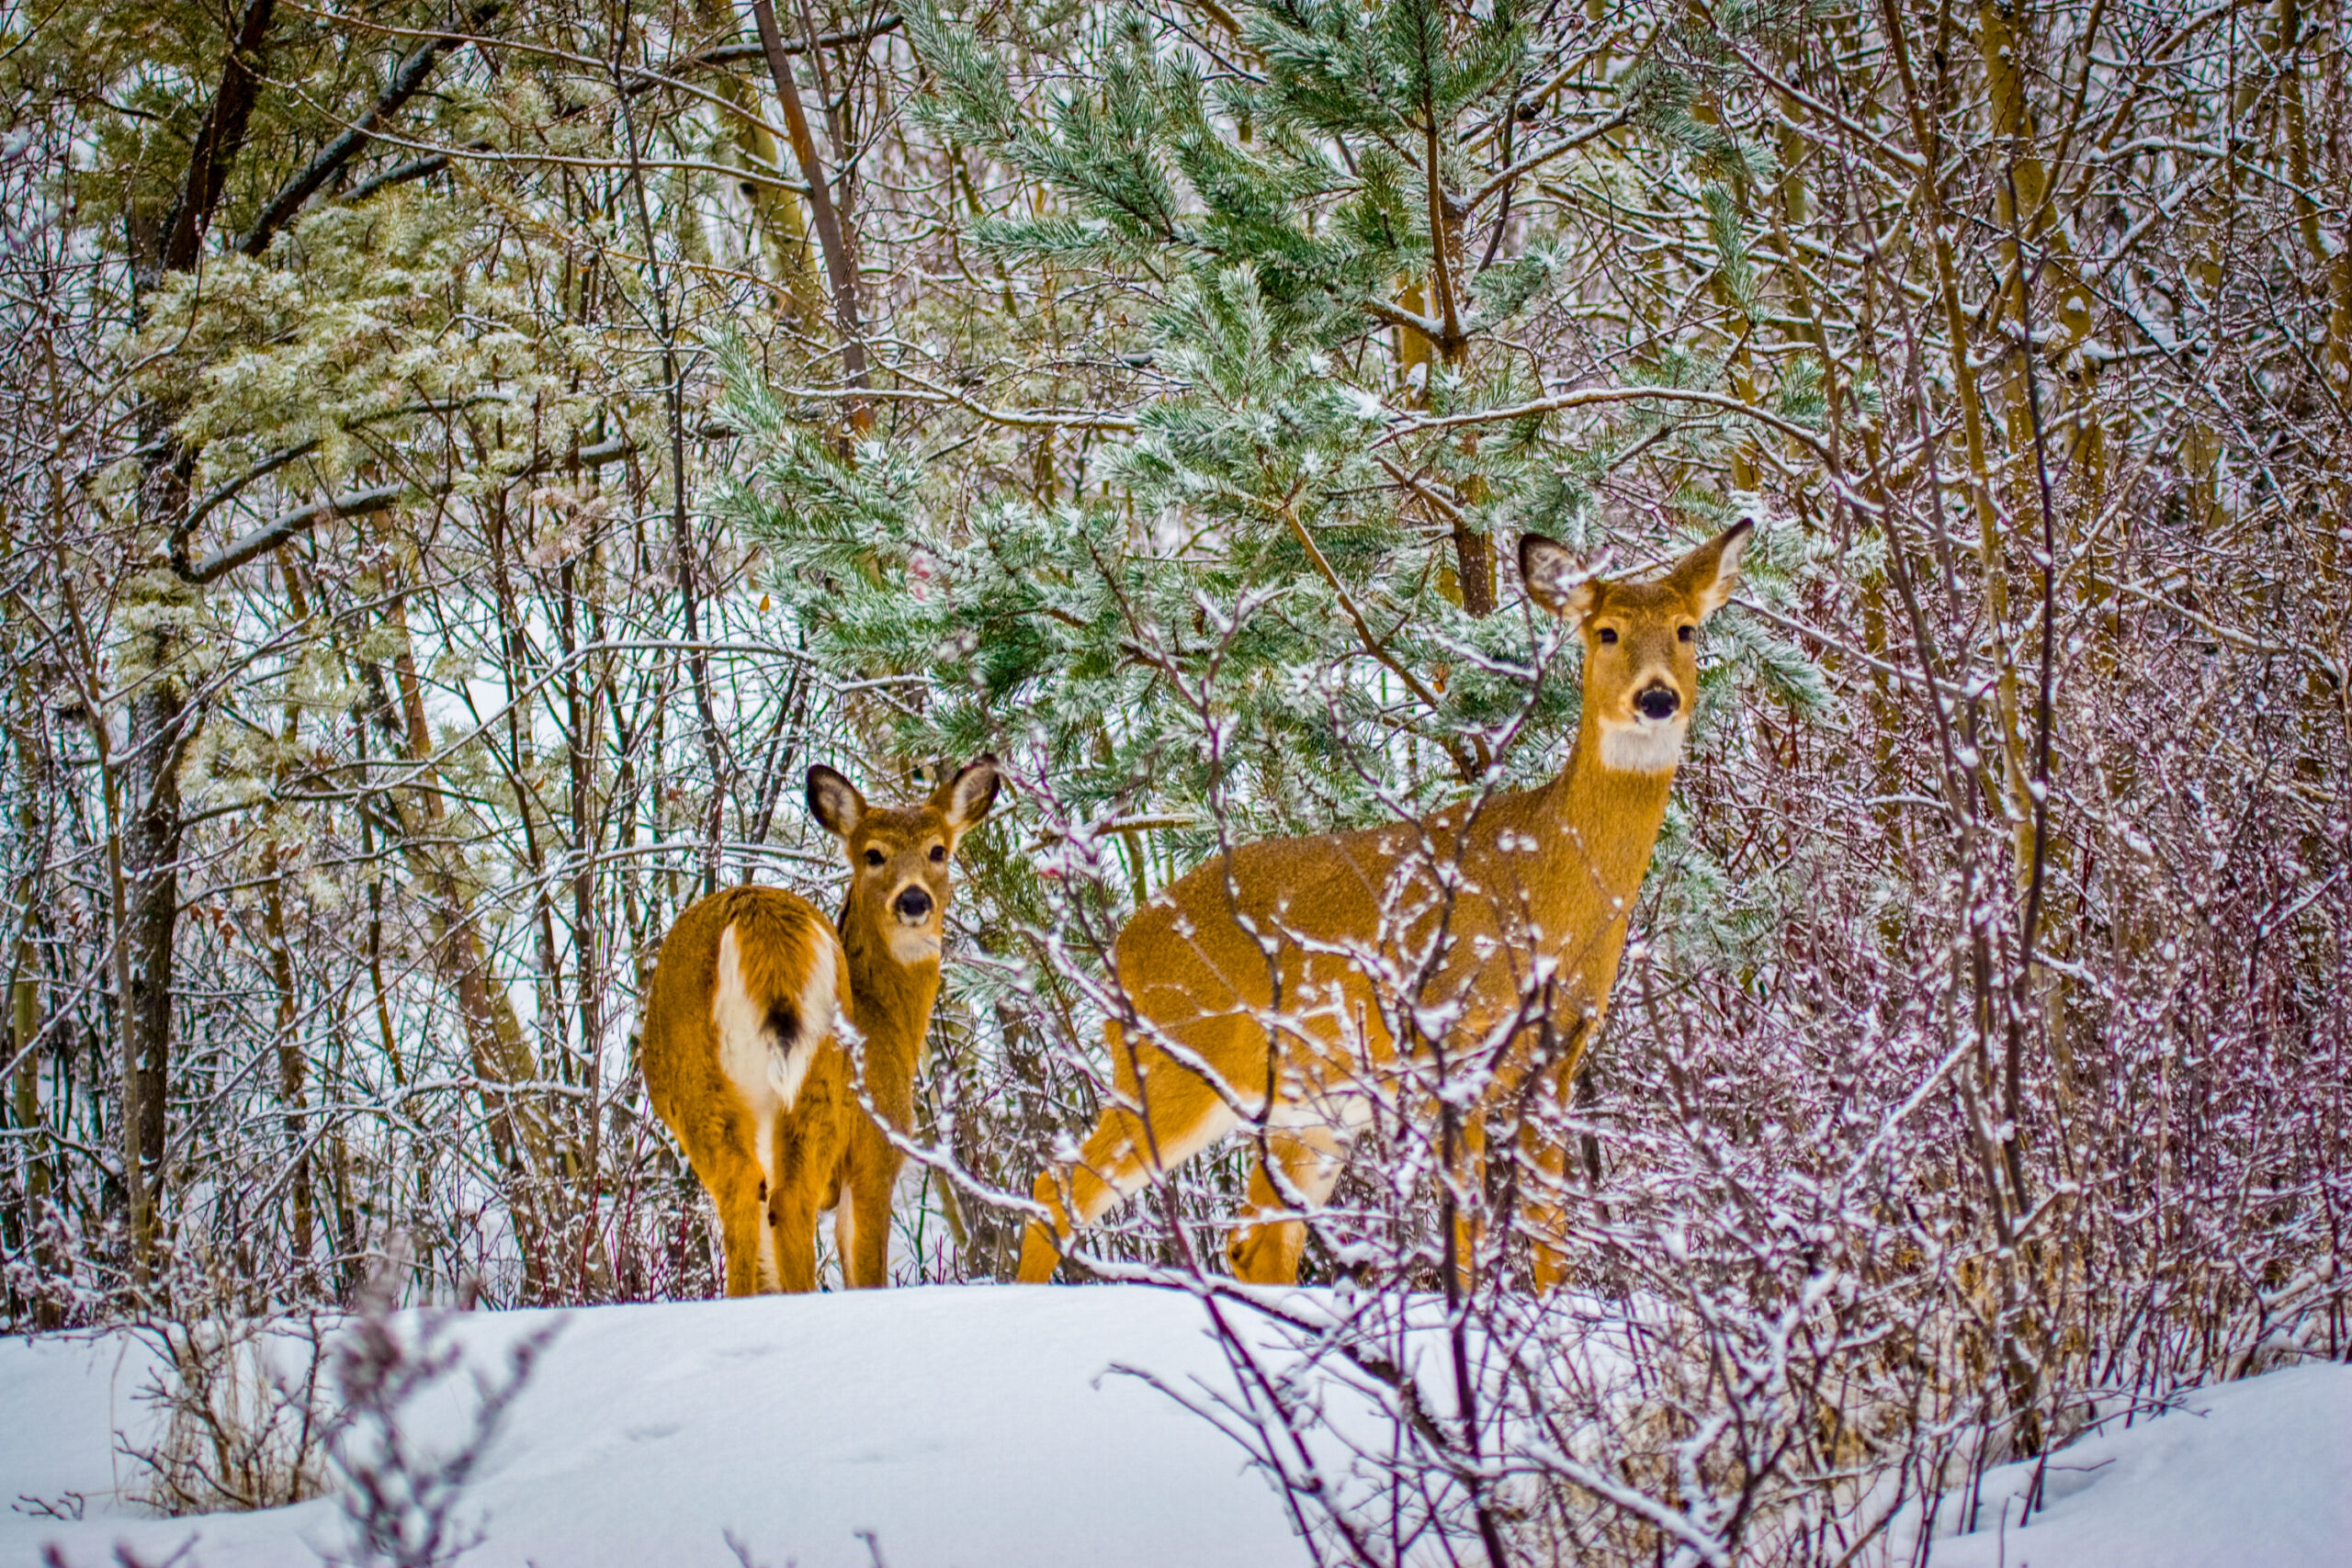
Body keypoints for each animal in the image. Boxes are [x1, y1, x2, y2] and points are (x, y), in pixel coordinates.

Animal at [641, 756, 1000, 1294]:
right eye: (873, 855)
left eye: (938, 850)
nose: (914, 900)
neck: (888, 1022)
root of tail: (759, 921)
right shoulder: (876, 1149)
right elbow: (865, 1268)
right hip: (822, 1082)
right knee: (790, 1202)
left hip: (699, 1086)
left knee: (742, 1193)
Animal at [1015, 522, 1750, 1290]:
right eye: (1606, 632)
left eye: (1686, 628)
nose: (1657, 696)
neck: (1543, 887)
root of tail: (1121, 946)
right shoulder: (1446, 1044)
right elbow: (1466, 1232)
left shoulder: (1559, 1059)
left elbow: (1552, 1237)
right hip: (1172, 1062)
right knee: (1058, 1188)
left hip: (1307, 1108)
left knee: (1257, 1245)